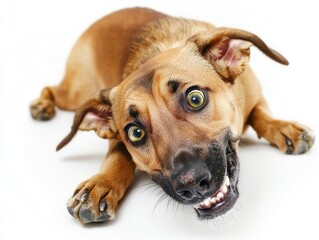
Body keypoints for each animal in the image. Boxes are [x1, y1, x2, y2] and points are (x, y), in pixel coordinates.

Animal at [30, 7, 316, 225]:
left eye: (195, 98)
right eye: (135, 133)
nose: (192, 184)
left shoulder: (255, 96)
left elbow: (261, 114)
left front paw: (284, 128)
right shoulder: (116, 138)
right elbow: (118, 157)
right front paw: (101, 184)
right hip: (76, 91)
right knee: (52, 89)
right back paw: (42, 105)